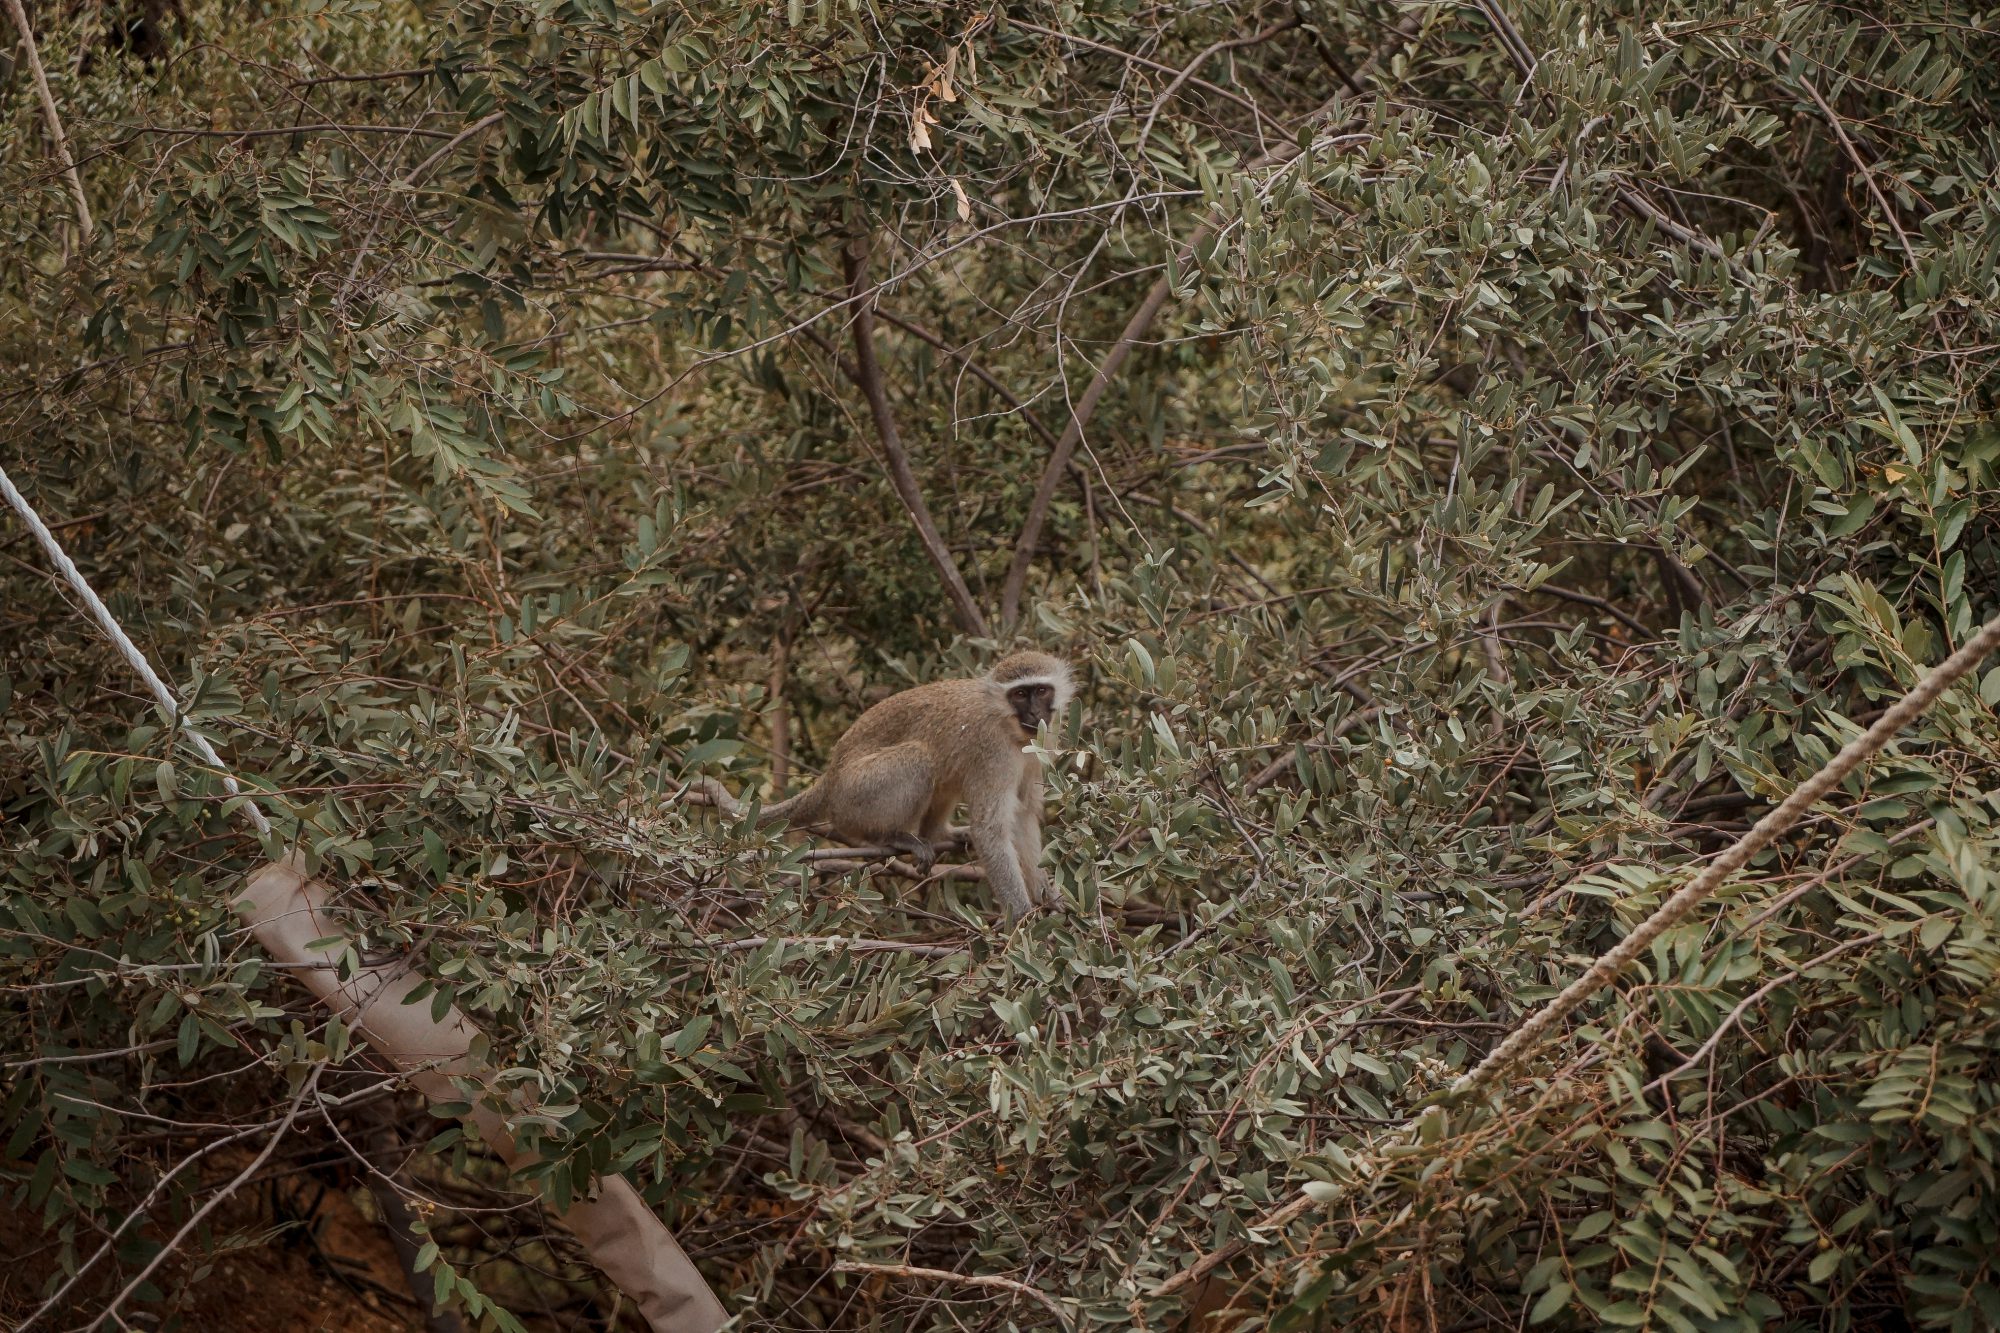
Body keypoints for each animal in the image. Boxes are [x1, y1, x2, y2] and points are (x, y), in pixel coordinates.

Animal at [764, 648, 1080, 920]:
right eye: (1020, 694)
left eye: (1041, 691)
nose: (1034, 714)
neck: (1010, 727)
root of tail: (830, 776)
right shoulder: (993, 752)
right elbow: (990, 830)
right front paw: (1022, 921)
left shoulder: (1040, 746)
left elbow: (1024, 814)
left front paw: (1046, 894)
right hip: (854, 793)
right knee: (919, 759)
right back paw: (887, 836)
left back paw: (940, 833)